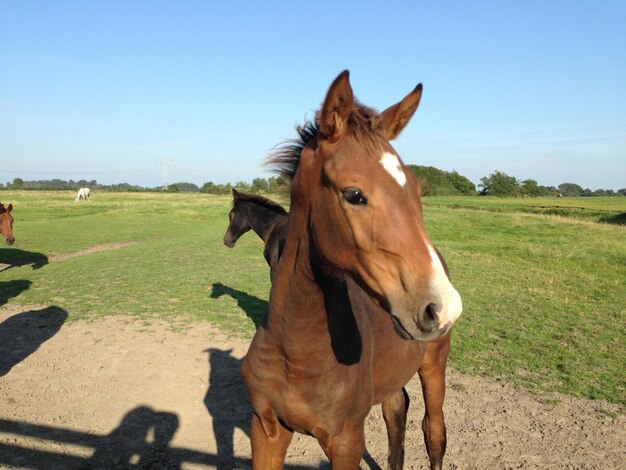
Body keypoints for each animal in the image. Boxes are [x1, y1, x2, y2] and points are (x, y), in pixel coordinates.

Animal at [241, 70, 460, 470]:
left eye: (416, 189)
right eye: (354, 194)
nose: (442, 306)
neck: (295, 353)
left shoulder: (346, 441)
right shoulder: (266, 429)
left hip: (435, 361)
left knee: (434, 430)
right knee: (396, 410)